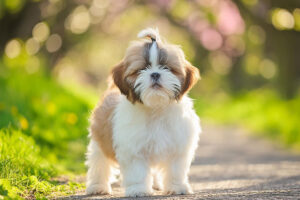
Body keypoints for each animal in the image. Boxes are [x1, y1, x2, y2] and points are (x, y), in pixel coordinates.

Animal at [85, 27, 200, 197]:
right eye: (142, 69)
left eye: (167, 68)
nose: (155, 74)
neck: (156, 107)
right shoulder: (133, 148)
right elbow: (137, 170)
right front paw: (138, 189)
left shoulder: (178, 146)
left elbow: (175, 169)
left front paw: (176, 187)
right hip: (100, 139)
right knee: (99, 161)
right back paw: (97, 186)